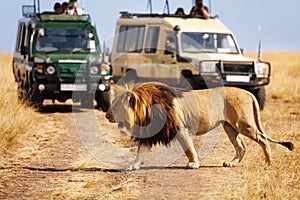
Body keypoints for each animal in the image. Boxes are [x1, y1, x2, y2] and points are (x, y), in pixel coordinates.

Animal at [105, 82, 292, 170]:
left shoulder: (181, 129)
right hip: (230, 127)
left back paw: (268, 163)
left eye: (115, 106)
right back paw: (231, 163)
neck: (145, 110)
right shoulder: (149, 132)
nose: (106, 115)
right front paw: (133, 166)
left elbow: (189, 148)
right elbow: (140, 152)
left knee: (263, 139)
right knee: (242, 147)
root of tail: (249, 93)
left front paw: (193, 164)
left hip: (244, 124)